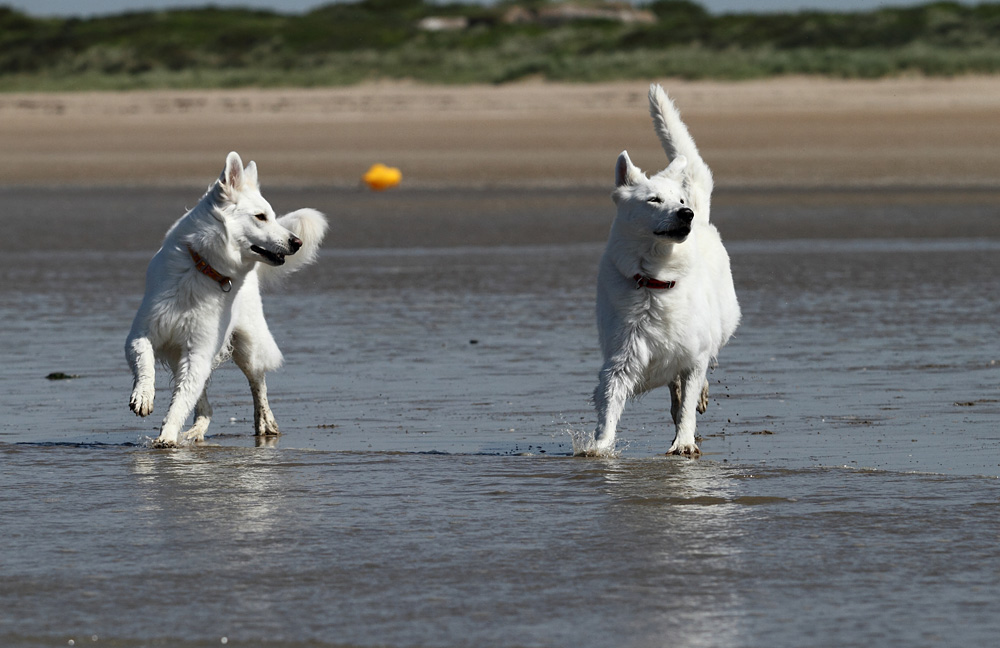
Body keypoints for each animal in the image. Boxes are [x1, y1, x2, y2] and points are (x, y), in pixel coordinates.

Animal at [125, 151, 328, 448]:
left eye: (273, 216)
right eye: (261, 217)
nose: (297, 242)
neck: (203, 268)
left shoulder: (198, 351)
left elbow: (180, 403)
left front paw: (167, 436)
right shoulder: (144, 332)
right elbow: (145, 362)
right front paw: (143, 396)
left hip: (247, 348)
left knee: (258, 384)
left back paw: (265, 423)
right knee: (206, 407)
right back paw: (195, 432)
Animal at [588, 84, 740, 457]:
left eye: (680, 202)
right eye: (654, 200)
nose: (687, 214)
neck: (656, 281)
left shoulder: (694, 357)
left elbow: (687, 404)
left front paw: (684, 442)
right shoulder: (620, 361)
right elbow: (609, 407)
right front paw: (599, 447)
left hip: (720, 327)